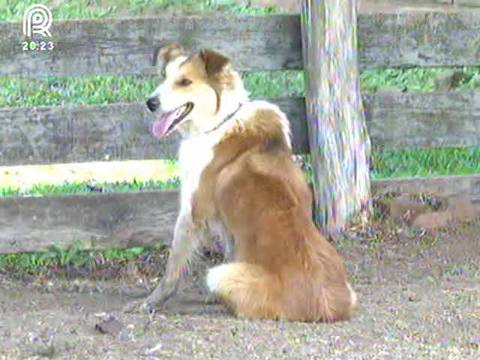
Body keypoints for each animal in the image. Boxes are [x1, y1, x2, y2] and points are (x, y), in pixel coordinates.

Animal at [136, 43, 356, 322]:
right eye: (163, 77)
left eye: (185, 81)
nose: (150, 103)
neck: (218, 121)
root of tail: (323, 306)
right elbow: (231, 249)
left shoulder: (192, 212)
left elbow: (173, 266)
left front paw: (152, 301)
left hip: (219, 274)